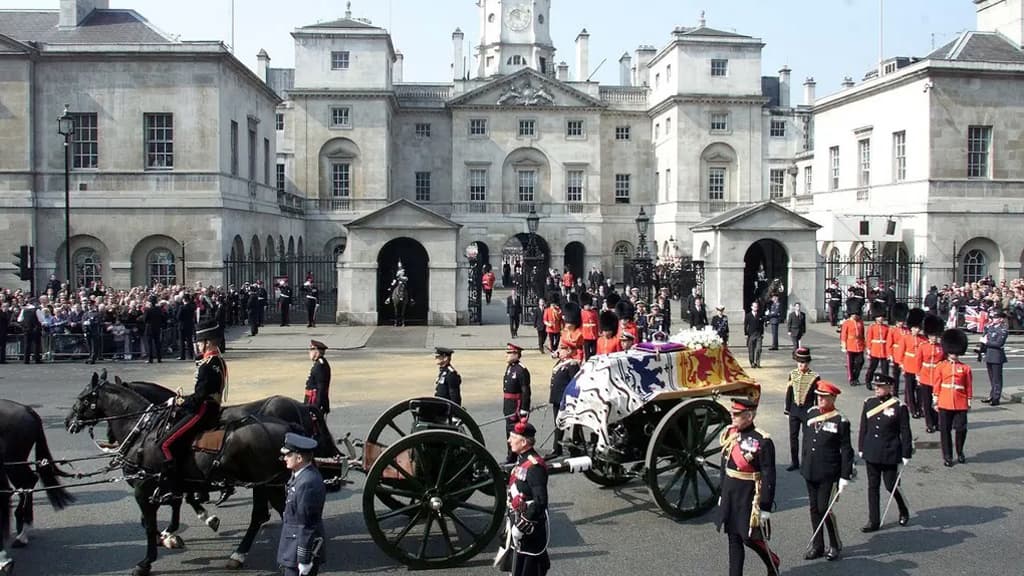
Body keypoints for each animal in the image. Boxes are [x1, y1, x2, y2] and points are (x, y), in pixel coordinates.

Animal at [69, 368, 344, 569]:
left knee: (266, 514)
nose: (69, 422)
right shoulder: (177, 481)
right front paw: (172, 532)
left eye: (82, 399)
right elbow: (175, 504)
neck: (147, 431)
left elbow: (151, 519)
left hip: (266, 483)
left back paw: (242, 554)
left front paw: (152, 554)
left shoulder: (147, 486)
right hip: (267, 482)